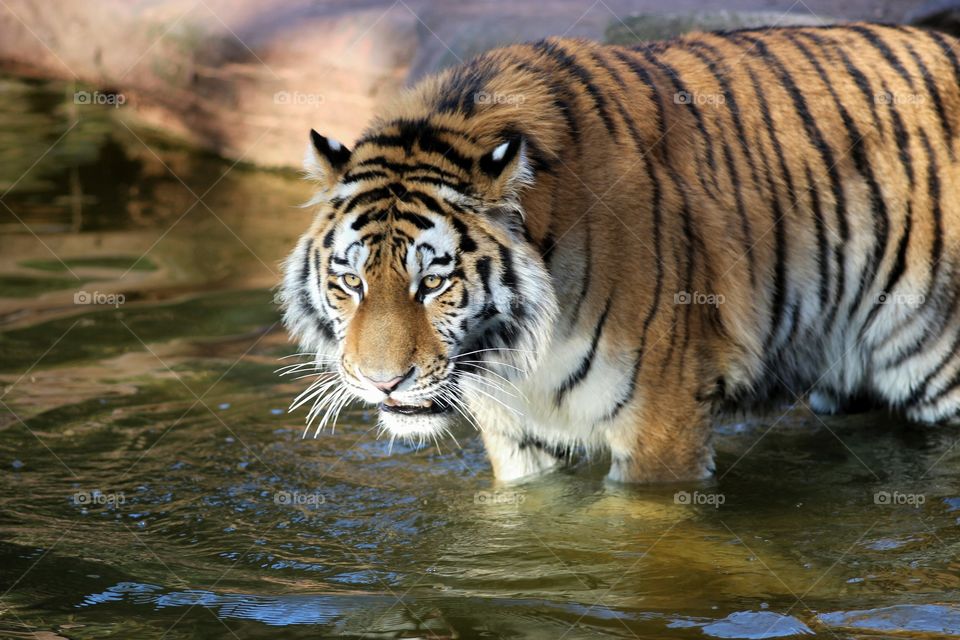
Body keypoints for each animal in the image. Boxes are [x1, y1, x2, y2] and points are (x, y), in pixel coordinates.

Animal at [279, 22, 960, 483]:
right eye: (352, 283)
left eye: (432, 284)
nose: (383, 383)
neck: (519, 356)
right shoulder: (517, 436)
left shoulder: (664, 420)